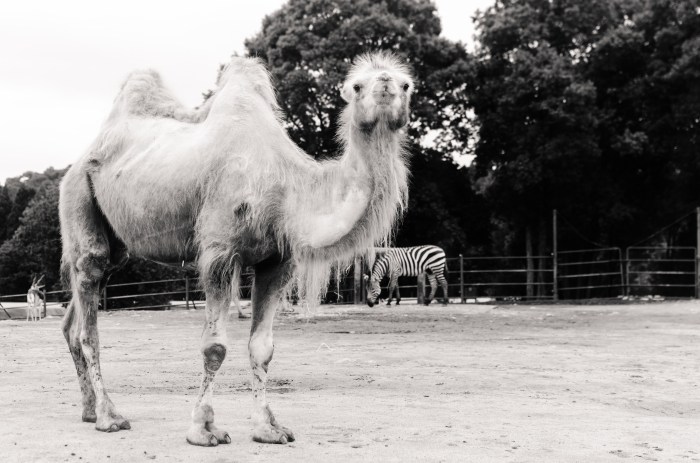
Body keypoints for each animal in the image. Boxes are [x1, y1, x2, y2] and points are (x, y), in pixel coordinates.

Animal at [59, 52, 413, 446]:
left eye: (406, 84)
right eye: (357, 86)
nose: (386, 86)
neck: (287, 189)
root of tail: (81, 158)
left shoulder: (277, 262)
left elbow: (263, 349)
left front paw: (269, 428)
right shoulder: (219, 251)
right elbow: (215, 346)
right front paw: (203, 429)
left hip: (114, 243)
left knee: (75, 315)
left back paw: (90, 411)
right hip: (78, 195)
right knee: (88, 313)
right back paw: (110, 416)